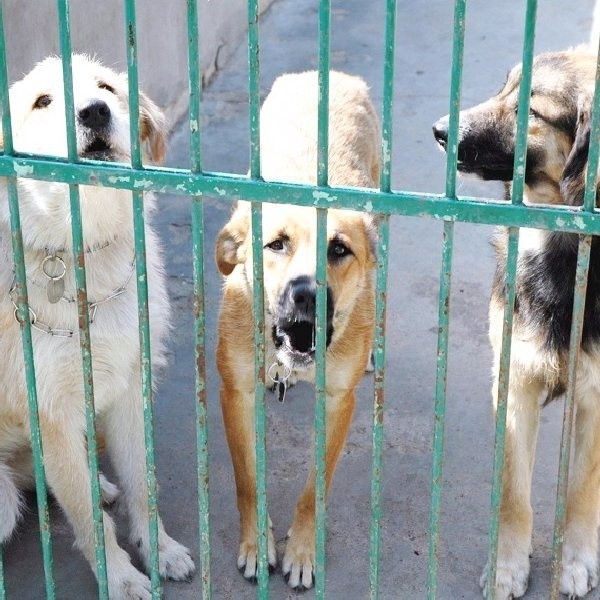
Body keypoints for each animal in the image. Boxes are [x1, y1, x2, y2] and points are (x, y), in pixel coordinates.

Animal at [0, 54, 193, 596]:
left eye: (107, 88)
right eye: (42, 101)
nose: (94, 112)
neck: (82, 254)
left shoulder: (128, 386)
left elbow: (142, 485)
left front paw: (160, 549)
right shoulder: (51, 412)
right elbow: (86, 517)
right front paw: (121, 578)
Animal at [216, 71, 380, 592]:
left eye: (339, 249)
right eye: (277, 245)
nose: (308, 294)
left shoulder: (338, 402)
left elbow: (314, 491)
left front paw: (304, 552)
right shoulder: (236, 392)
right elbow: (247, 481)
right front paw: (256, 546)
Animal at [434, 49, 600, 596]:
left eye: (531, 108)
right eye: (503, 87)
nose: (440, 131)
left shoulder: (595, 398)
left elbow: (581, 490)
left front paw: (575, 560)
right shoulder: (514, 382)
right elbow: (512, 491)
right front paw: (506, 564)